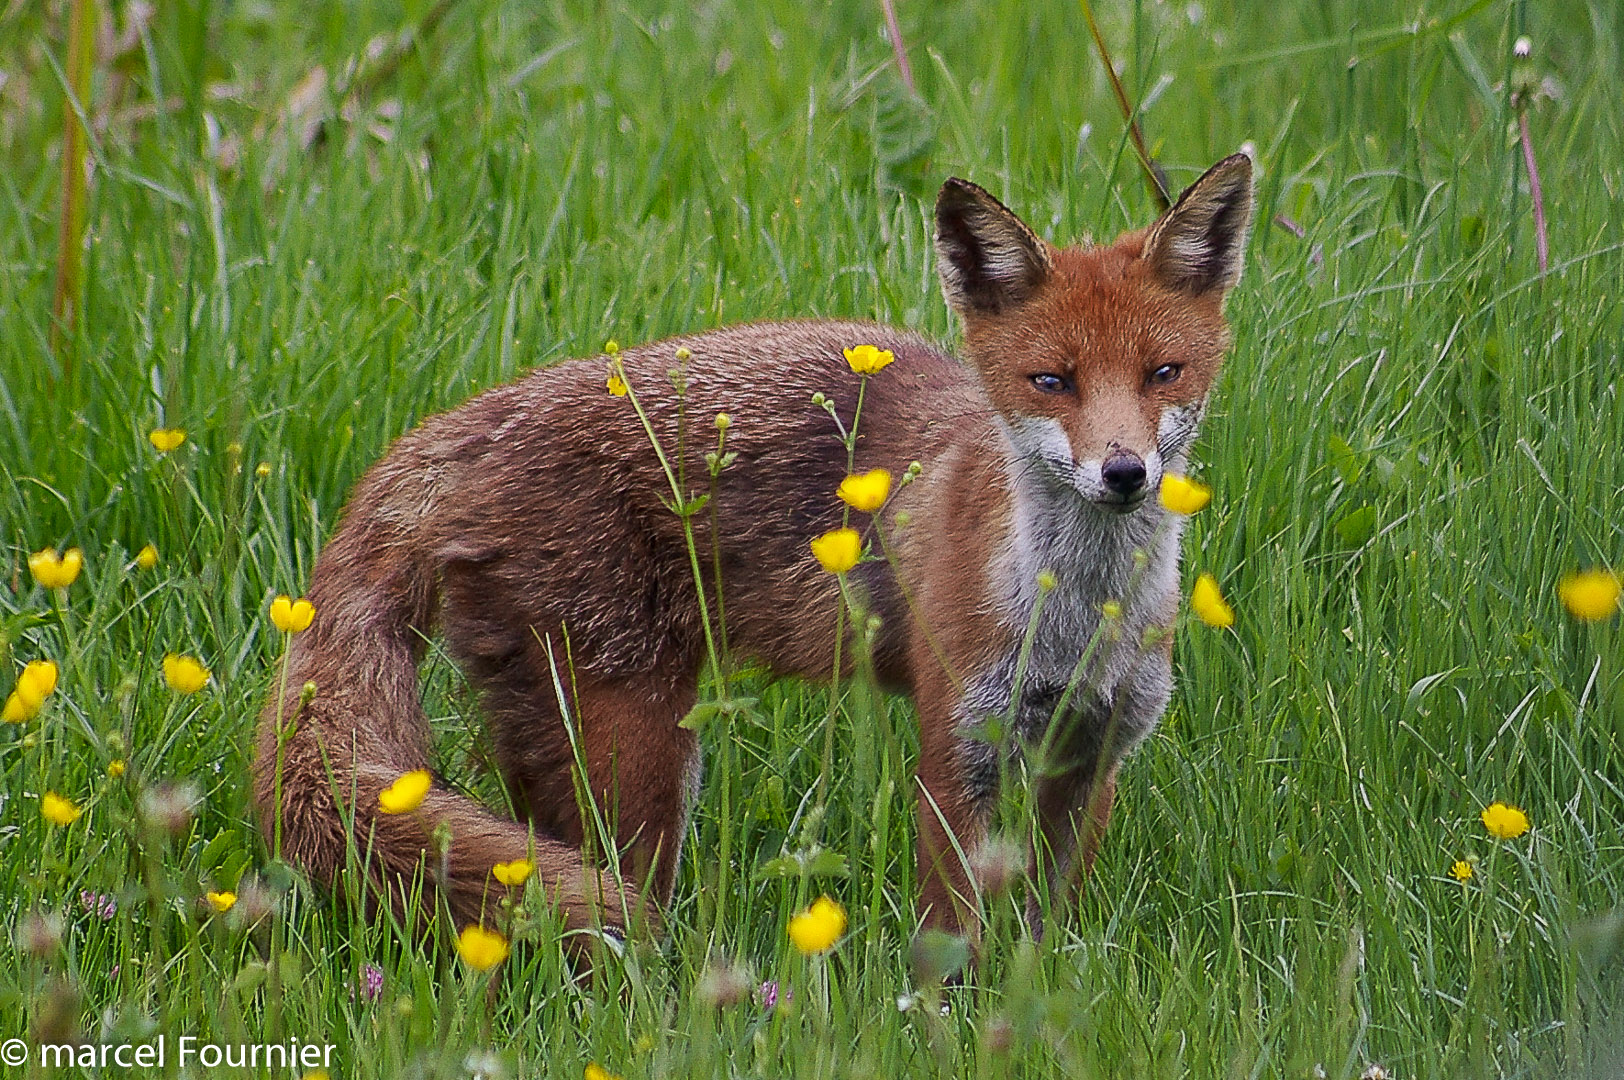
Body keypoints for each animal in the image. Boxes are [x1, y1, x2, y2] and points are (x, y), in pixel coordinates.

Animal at [253, 151, 1253, 941]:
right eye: (1053, 382)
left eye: (1164, 373)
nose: (1123, 473)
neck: (1079, 615)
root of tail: (467, 422)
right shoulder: (954, 746)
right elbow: (951, 939)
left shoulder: (1093, 752)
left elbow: (1045, 933)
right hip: (640, 753)